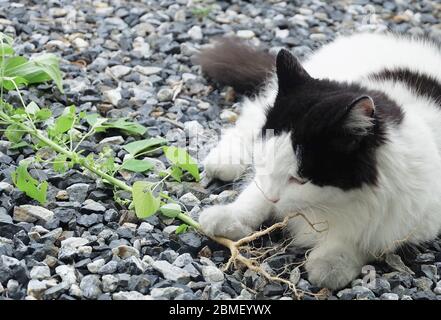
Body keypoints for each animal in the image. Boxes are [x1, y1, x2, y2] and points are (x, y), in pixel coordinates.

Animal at [194, 33, 440, 292]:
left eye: (299, 180)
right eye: (263, 163)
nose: (273, 199)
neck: (334, 204)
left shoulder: (412, 220)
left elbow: (361, 240)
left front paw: (331, 263)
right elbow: (253, 197)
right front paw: (228, 217)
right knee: (249, 117)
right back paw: (223, 162)